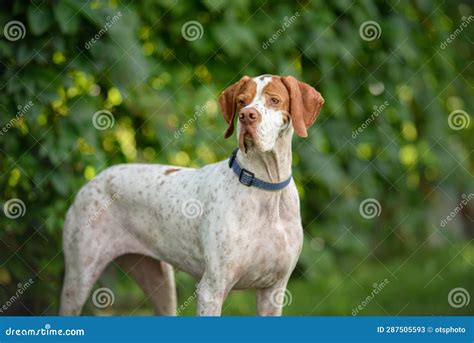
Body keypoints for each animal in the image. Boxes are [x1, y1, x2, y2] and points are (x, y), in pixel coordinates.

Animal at [60, 74, 322, 318]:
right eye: (241, 101)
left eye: (274, 100)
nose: (247, 115)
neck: (265, 188)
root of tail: (93, 180)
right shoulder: (211, 290)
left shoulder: (274, 291)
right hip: (79, 279)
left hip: (159, 281)